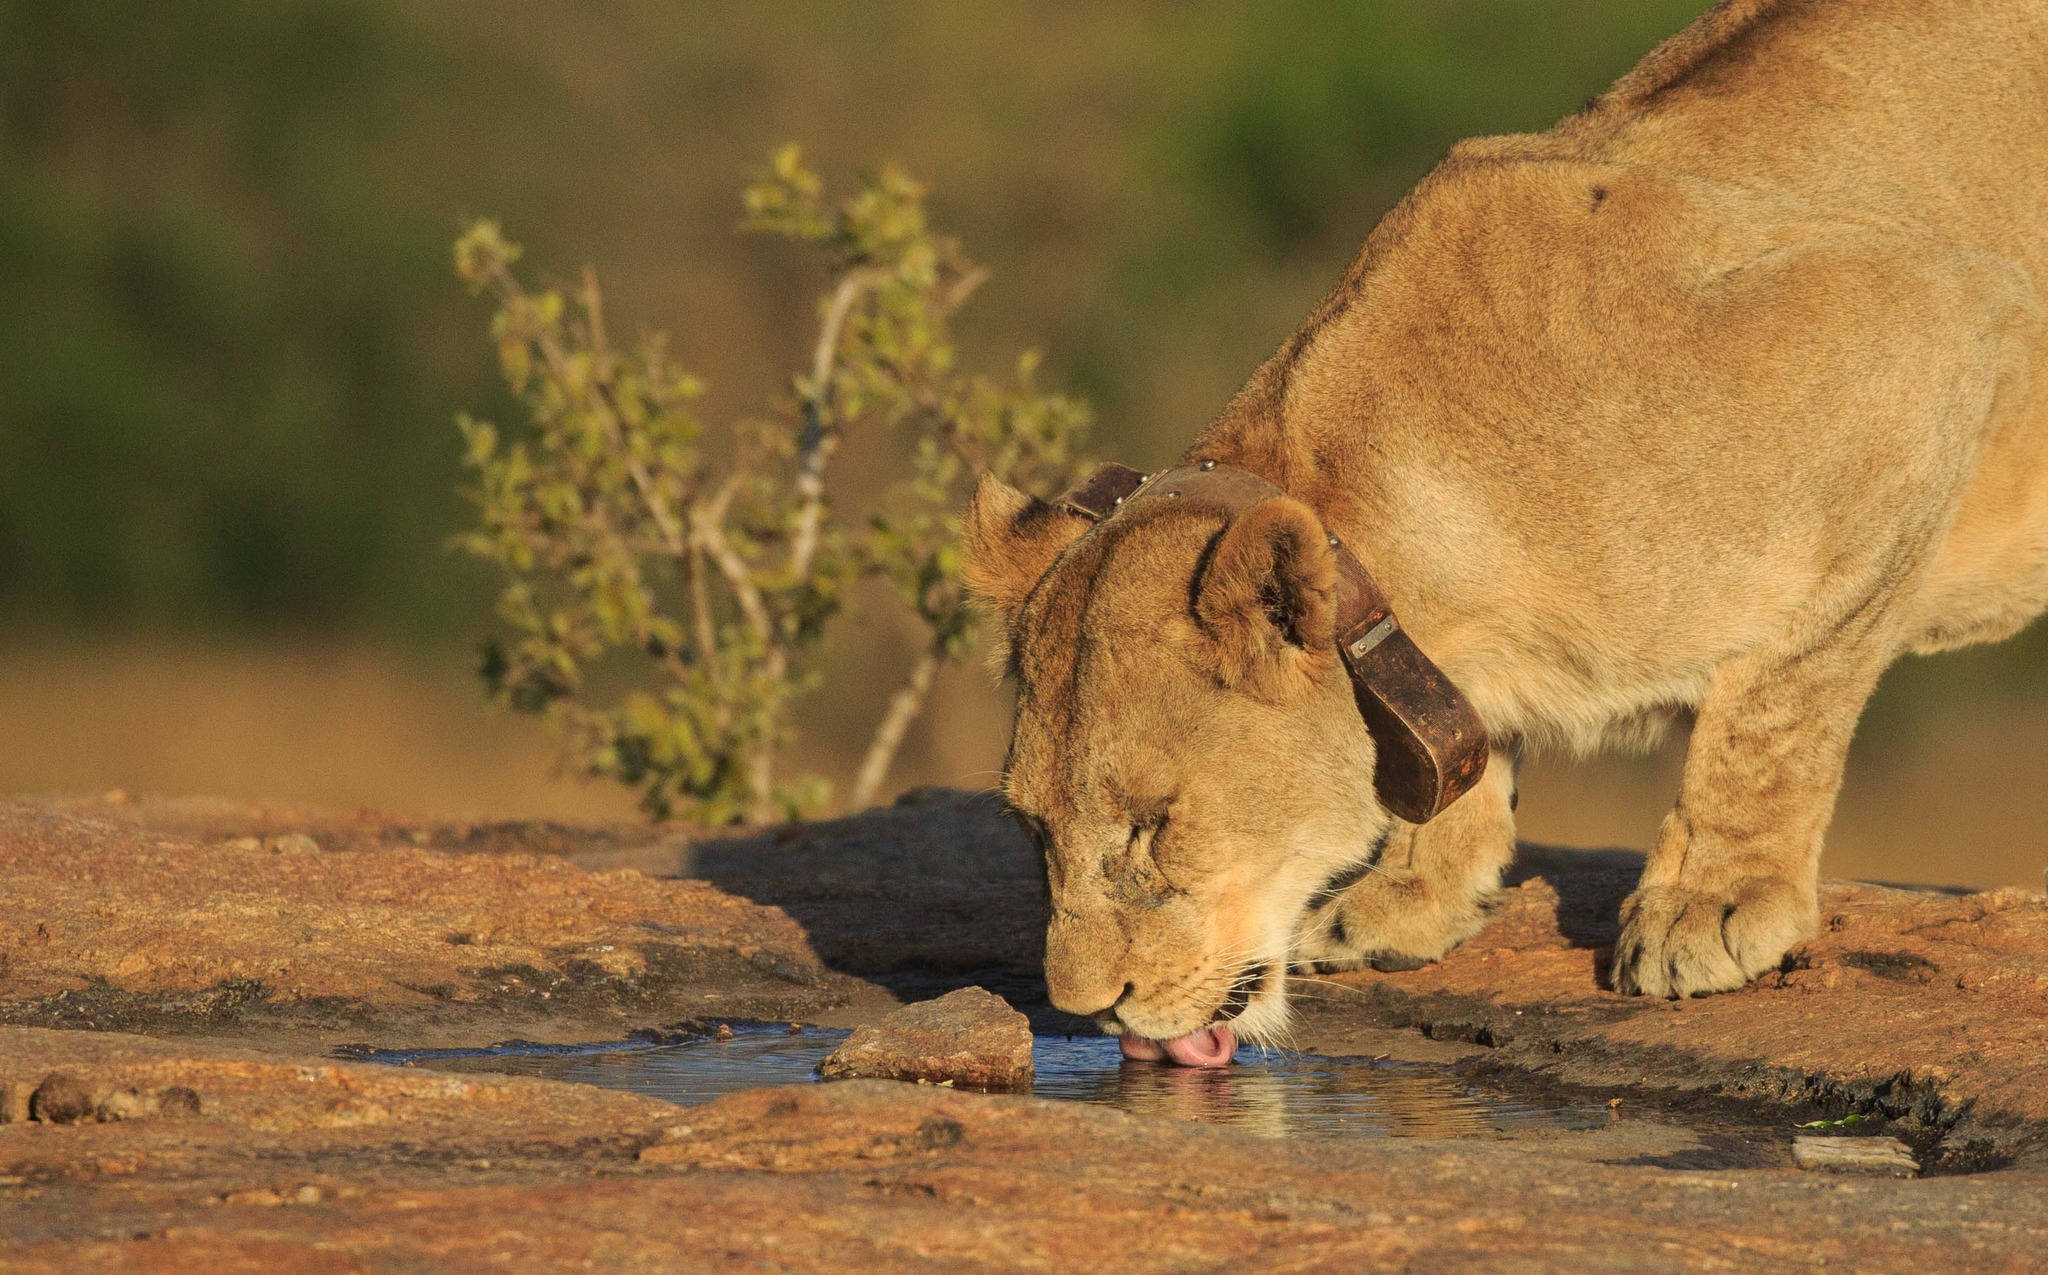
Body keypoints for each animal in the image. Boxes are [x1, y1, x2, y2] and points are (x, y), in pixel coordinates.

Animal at [961, 0, 2048, 1061]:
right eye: (1030, 830)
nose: (1088, 1009)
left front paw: (1709, 903)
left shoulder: (1931, 321)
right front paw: (1412, 892)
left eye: (1154, 825)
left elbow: (1778, 700)